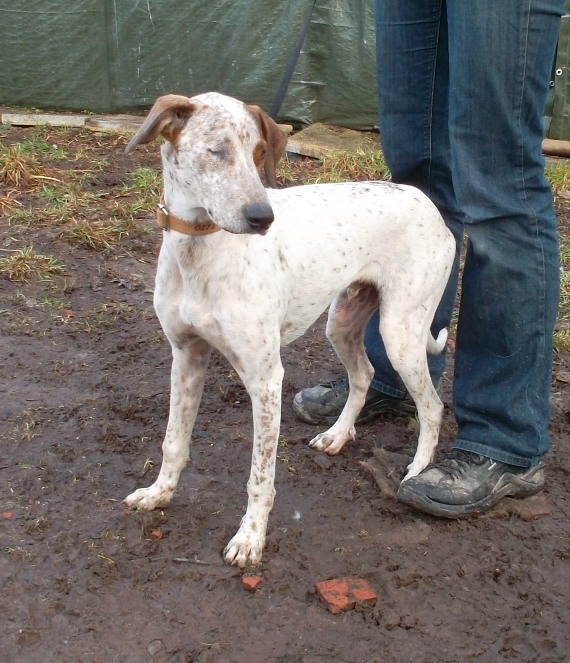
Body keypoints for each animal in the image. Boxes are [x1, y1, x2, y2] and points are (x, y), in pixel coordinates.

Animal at [123, 92, 456, 567]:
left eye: (260, 152)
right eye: (216, 151)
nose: (263, 218)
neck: (201, 248)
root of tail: (424, 201)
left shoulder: (265, 379)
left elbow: (260, 475)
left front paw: (250, 538)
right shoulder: (186, 357)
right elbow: (173, 443)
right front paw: (159, 493)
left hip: (401, 332)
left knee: (431, 406)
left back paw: (417, 471)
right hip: (342, 322)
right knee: (365, 375)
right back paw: (337, 435)